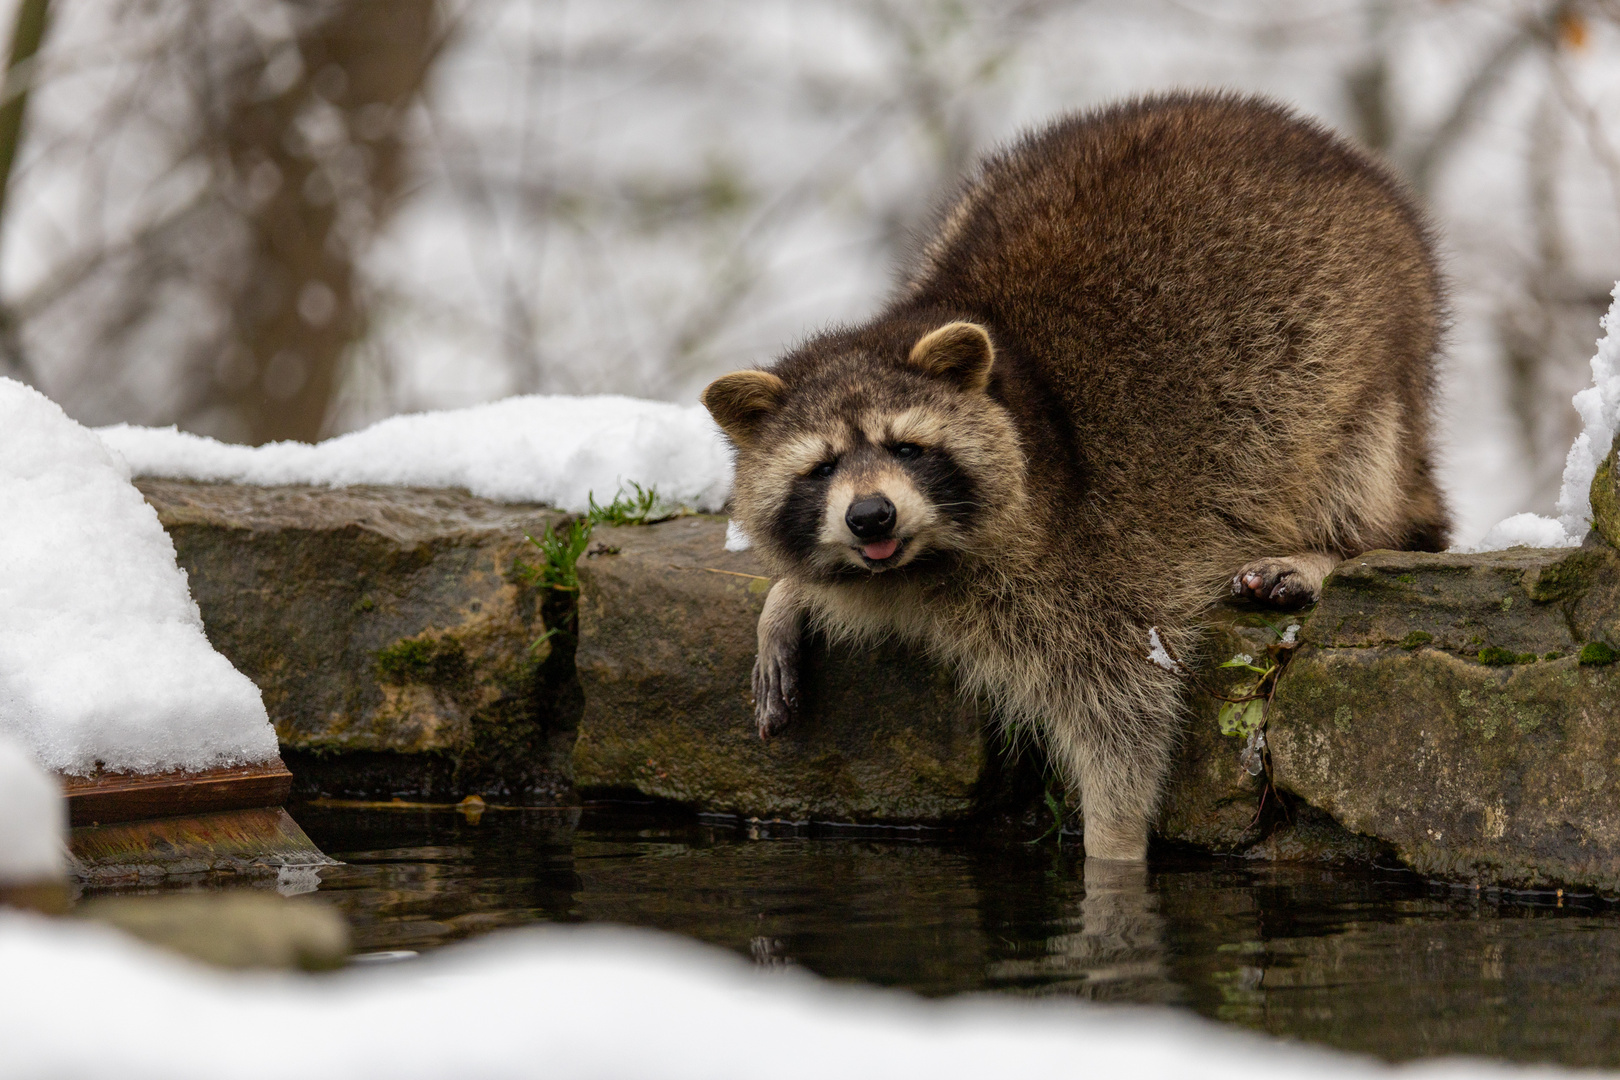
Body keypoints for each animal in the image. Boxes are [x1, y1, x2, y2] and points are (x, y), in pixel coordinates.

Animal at [703, 93, 1451, 861]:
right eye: (822, 467)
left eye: (907, 448)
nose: (871, 516)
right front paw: (789, 594)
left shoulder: (1098, 565)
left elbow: (1127, 711)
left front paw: (1112, 850)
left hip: (1364, 357)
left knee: (1362, 478)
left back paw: (1335, 546)